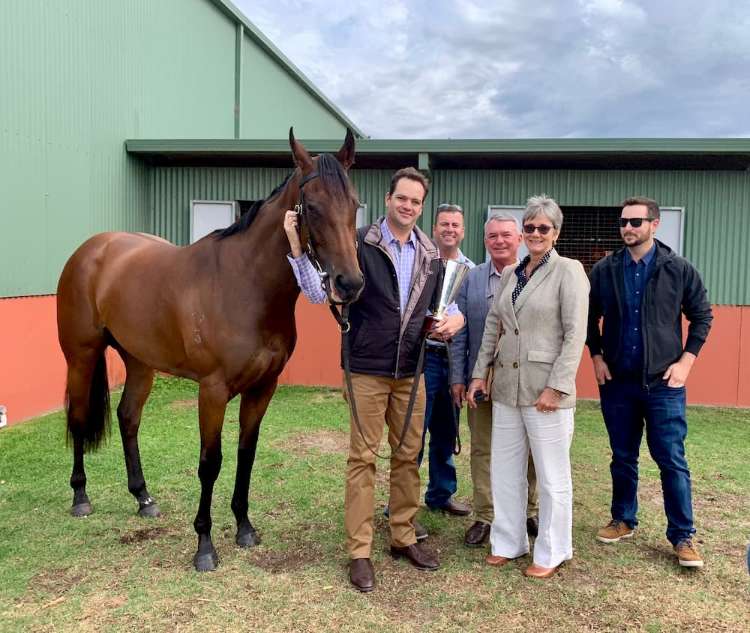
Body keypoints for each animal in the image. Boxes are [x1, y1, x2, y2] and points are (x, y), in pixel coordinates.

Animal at [56, 129, 364, 571]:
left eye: (354, 204)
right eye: (313, 207)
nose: (349, 284)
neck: (244, 285)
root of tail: (91, 249)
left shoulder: (263, 389)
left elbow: (246, 454)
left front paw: (245, 528)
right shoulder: (213, 391)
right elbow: (210, 463)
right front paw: (204, 545)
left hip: (140, 362)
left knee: (128, 418)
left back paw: (143, 498)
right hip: (81, 356)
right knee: (79, 417)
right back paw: (81, 496)